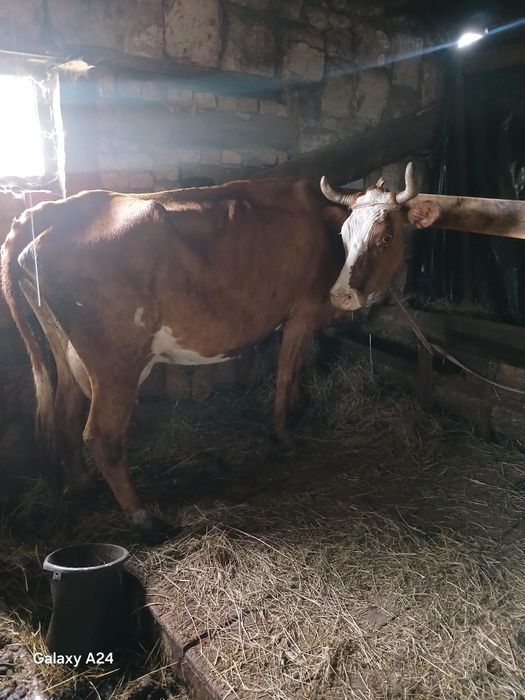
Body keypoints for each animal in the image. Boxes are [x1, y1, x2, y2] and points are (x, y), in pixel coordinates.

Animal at [1, 163, 440, 540]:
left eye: (386, 237)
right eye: (346, 237)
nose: (343, 293)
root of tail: (49, 210)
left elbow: (297, 369)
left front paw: (299, 410)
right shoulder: (301, 314)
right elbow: (285, 372)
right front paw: (283, 434)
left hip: (66, 350)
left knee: (65, 413)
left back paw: (83, 485)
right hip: (116, 364)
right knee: (101, 436)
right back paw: (145, 519)